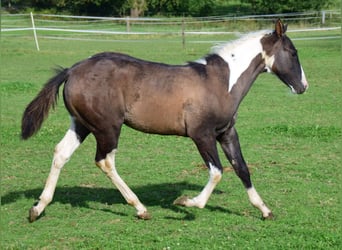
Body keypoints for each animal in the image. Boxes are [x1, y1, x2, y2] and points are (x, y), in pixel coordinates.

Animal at [22, 20, 308, 223]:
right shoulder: (201, 134)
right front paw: (187, 202)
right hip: (108, 128)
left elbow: (242, 168)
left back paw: (38, 208)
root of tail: (72, 70)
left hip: (82, 124)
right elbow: (216, 172)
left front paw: (265, 210)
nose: (303, 86)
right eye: (292, 52)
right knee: (105, 160)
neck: (220, 82)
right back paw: (140, 208)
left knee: (61, 153)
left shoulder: (226, 133)